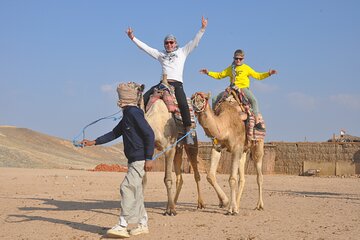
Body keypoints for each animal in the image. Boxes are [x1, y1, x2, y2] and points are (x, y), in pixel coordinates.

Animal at [144, 88, 205, 216]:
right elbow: (143, 179)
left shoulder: (169, 148)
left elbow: (167, 179)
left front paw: (170, 210)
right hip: (178, 149)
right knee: (180, 178)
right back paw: (173, 203)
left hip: (191, 143)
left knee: (196, 174)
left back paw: (200, 204)